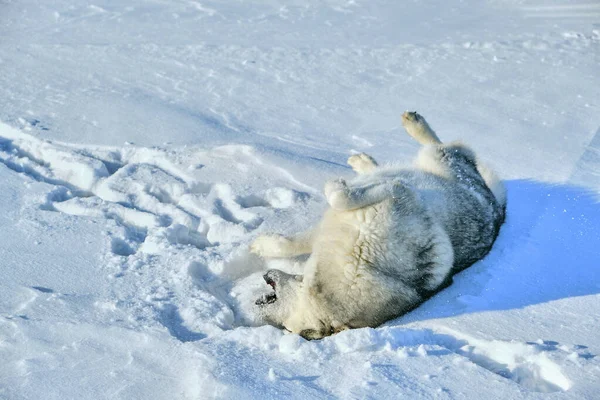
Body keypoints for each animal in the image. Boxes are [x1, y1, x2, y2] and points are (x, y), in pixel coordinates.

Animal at [250, 111, 506, 340]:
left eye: (288, 329)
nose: (266, 273)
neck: (356, 264)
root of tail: (498, 209)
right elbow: (289, 244)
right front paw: (261, 245)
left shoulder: (400, 193)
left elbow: (341, 196)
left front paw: (336, 184)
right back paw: (363, 161)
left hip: (438, 160)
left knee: (443, 146)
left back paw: (413, 123)